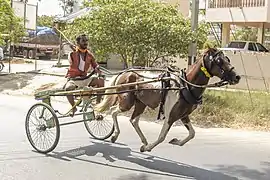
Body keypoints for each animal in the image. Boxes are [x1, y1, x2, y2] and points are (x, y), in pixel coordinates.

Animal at [94, 47, 240, 152]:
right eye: (219, 61)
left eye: (227, 59)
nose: (237, 77)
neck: (184, 85)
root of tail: (125, 72)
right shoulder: (170, 116)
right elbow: (162, 137)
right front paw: (148, 148)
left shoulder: (183, 115)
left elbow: (192, 133)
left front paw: (176, 141)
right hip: (126, 102)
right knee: (113, 111)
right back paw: (116, 135)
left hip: (141, 104)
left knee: (133, 120)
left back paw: (143, 140)